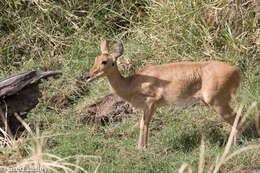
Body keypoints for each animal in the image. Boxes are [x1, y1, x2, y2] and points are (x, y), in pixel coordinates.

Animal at [86, 38, 241, 149]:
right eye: (95, 59)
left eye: (104, 61)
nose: (87, 76)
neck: (132, 83)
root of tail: (236, 71)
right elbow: (142, 124)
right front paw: (139, 147)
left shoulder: (151, 102)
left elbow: (144, 124)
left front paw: (143, 148)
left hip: (216, 101)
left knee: (235, 117)